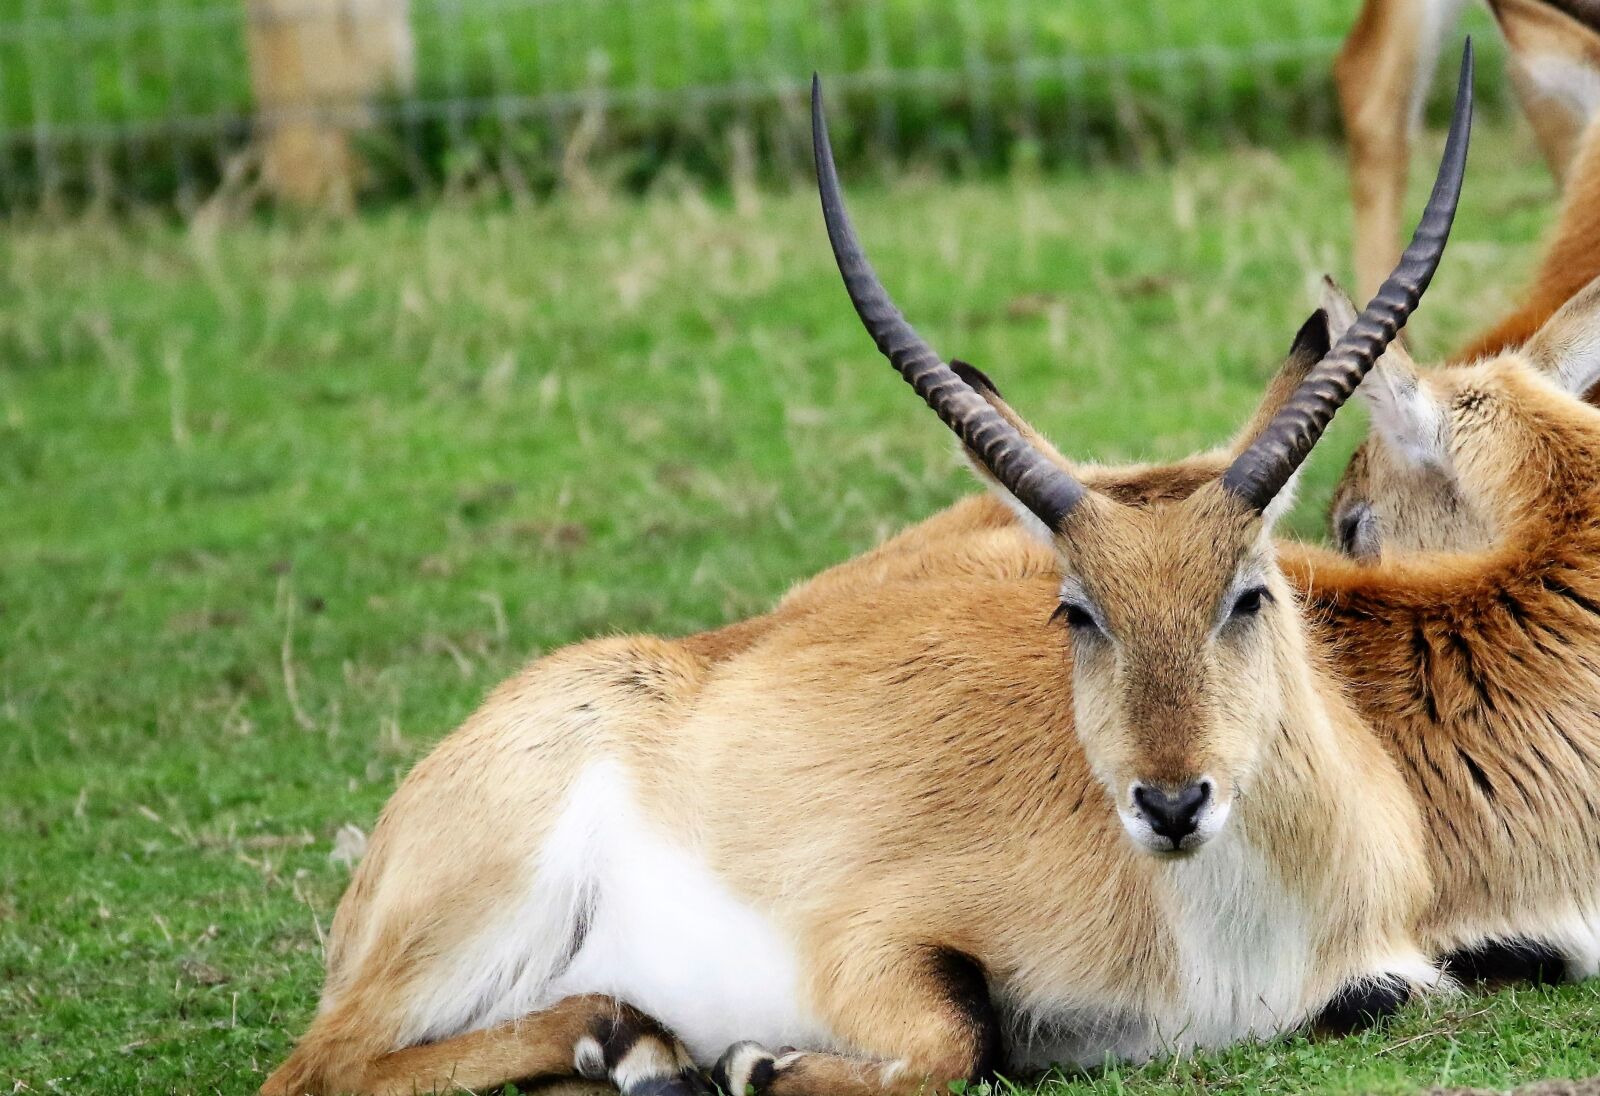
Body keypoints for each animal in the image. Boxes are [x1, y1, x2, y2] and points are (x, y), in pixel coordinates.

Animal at [259, 46, 1476, 1096]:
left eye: (1247, 594)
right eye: (1077, 611)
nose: (1171, 802)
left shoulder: (1388, 975)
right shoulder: (867, 941)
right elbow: (962, 1035)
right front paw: (757, 1062)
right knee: (317, 1065)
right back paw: (641, 1044)